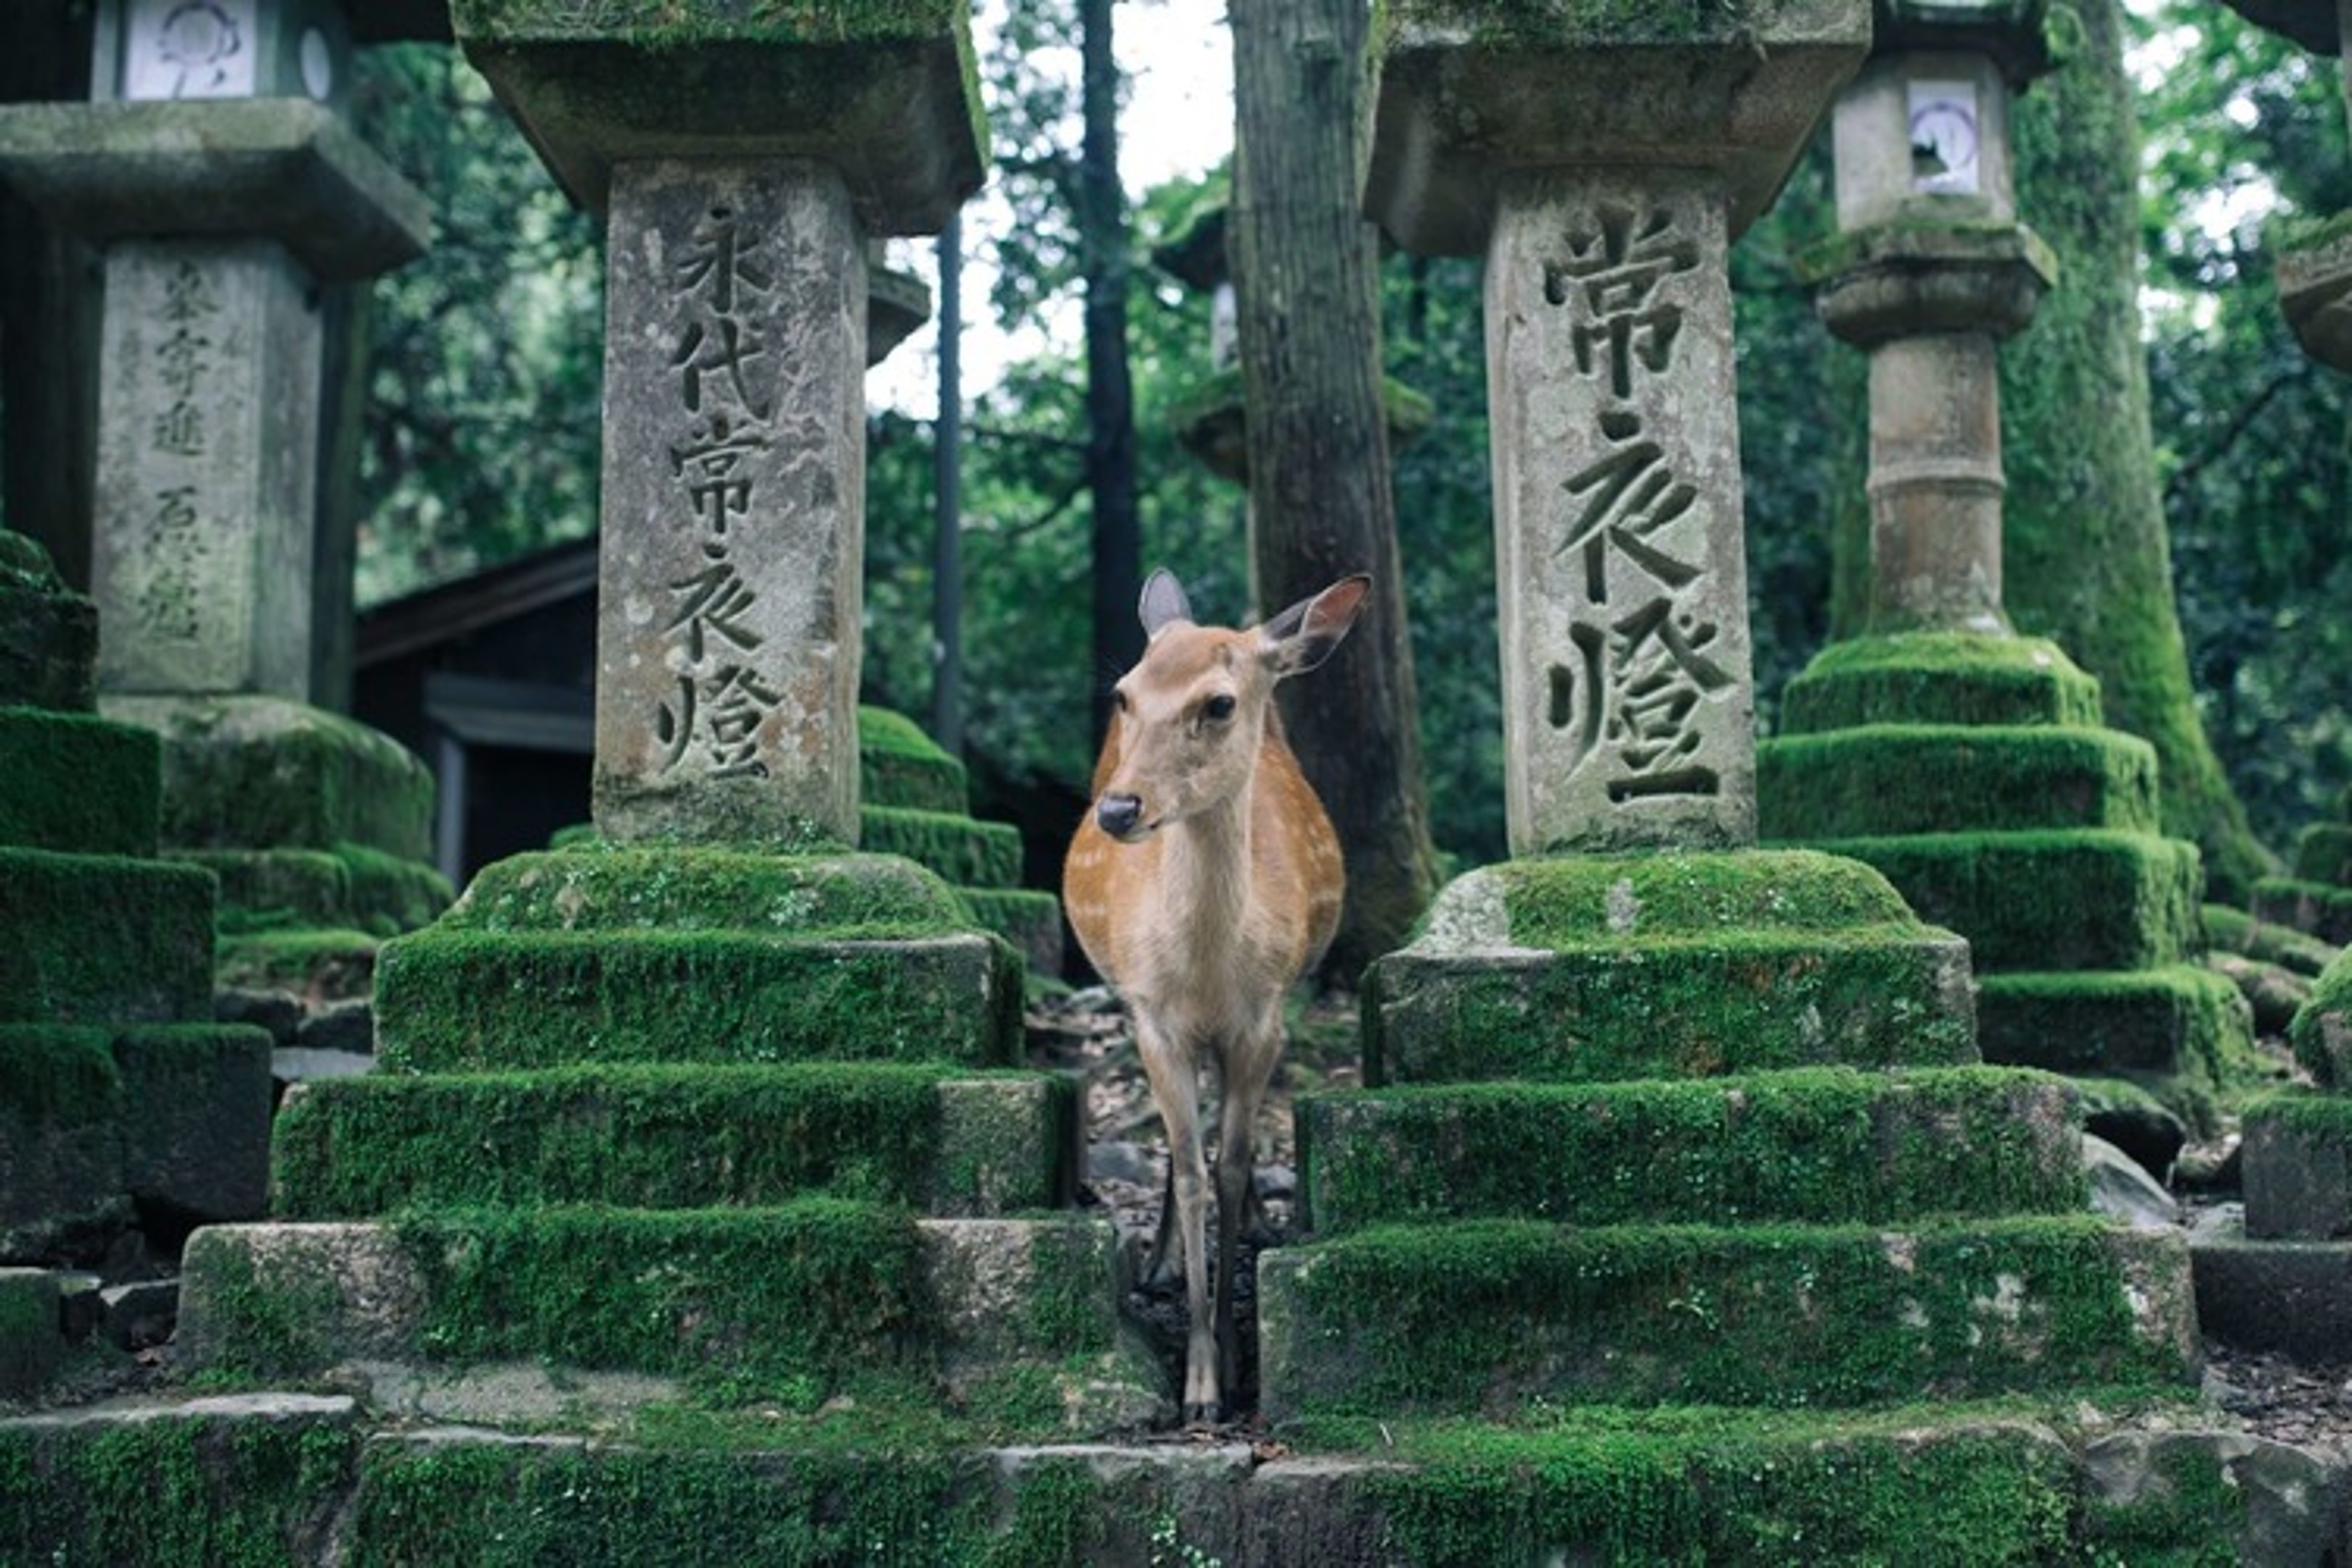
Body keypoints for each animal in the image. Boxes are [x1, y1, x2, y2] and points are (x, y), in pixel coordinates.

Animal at [1063, 571, 1373, 1429]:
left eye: (1220, 702)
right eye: (1125, 694)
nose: (1119, 810)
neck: (1205, 972)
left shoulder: (1262, 1019)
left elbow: (1231, 1167)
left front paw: (1236, 1367)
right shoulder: (1152, 1017)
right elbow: (1195, 1169)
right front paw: (1198, 1385)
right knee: (1179, 1151)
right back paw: (1161, 1262)